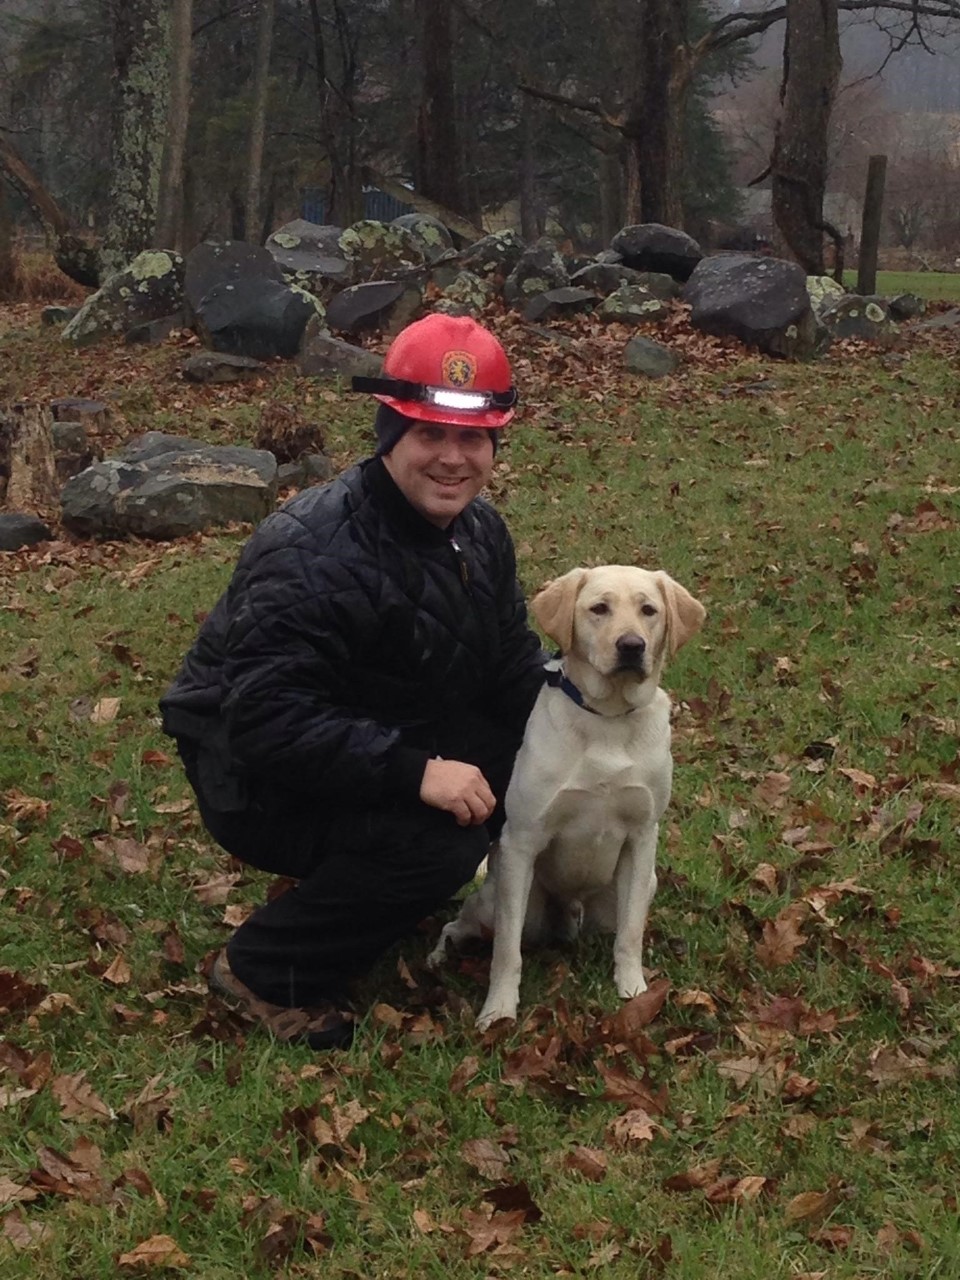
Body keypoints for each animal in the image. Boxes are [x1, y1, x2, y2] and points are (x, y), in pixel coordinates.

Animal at [427, 568, 706, 1029]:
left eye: (649, 610)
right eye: (599, 608)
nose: (632, 646)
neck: (608, 718)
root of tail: (568, 910)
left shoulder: (642, 837)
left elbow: (631, 932)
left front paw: (634, 990)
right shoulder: (522, 840)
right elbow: (506, 952)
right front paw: (498, 1010)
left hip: (629, 892)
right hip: (509, 904)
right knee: (462, 924)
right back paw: (440, 956)